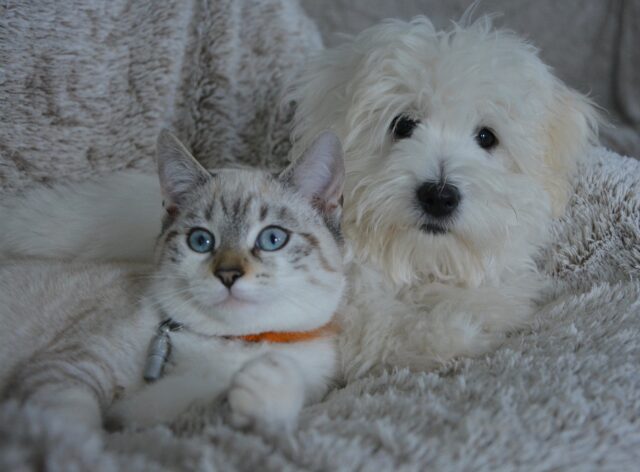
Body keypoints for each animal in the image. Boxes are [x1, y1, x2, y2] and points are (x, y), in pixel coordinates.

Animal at [0, 130, 344, 432]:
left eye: (272, 239)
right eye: (201, 241)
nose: (228, 275)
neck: (233, 342)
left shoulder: (150, 418)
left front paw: (267, 382)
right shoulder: (71, 370)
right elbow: (70, 427)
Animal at [1, 16, 600, 382]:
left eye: (487, 138)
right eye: (403, 125)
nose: (439, 194)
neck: (410, 261)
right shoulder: (352, 327)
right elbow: (406, 336)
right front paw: (457, 331)